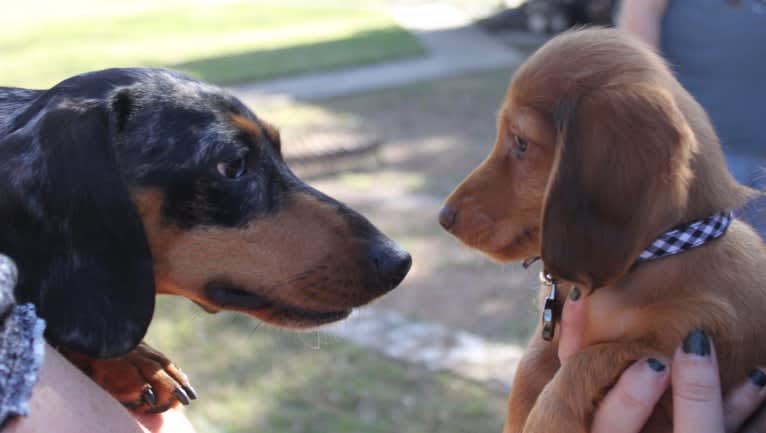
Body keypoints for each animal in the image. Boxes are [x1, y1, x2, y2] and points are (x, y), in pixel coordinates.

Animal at [438, 28, 766, 430]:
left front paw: (545, 420)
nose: (444, 217)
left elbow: (588, 361)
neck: (659, 254)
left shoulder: (685, 340)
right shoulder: (555, 333)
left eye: (521, 142)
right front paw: (519, 415)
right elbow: (531, 363)